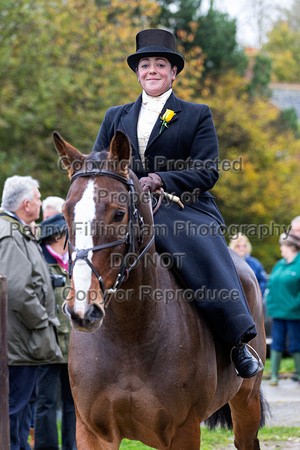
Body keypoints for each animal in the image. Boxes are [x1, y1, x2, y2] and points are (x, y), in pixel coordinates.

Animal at [52, 130, 266, 450]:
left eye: (118, 215)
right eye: (65, 213)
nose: (82, 309)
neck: (131, 333)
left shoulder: (184, 431)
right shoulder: (92, 432)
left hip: (247, 402)